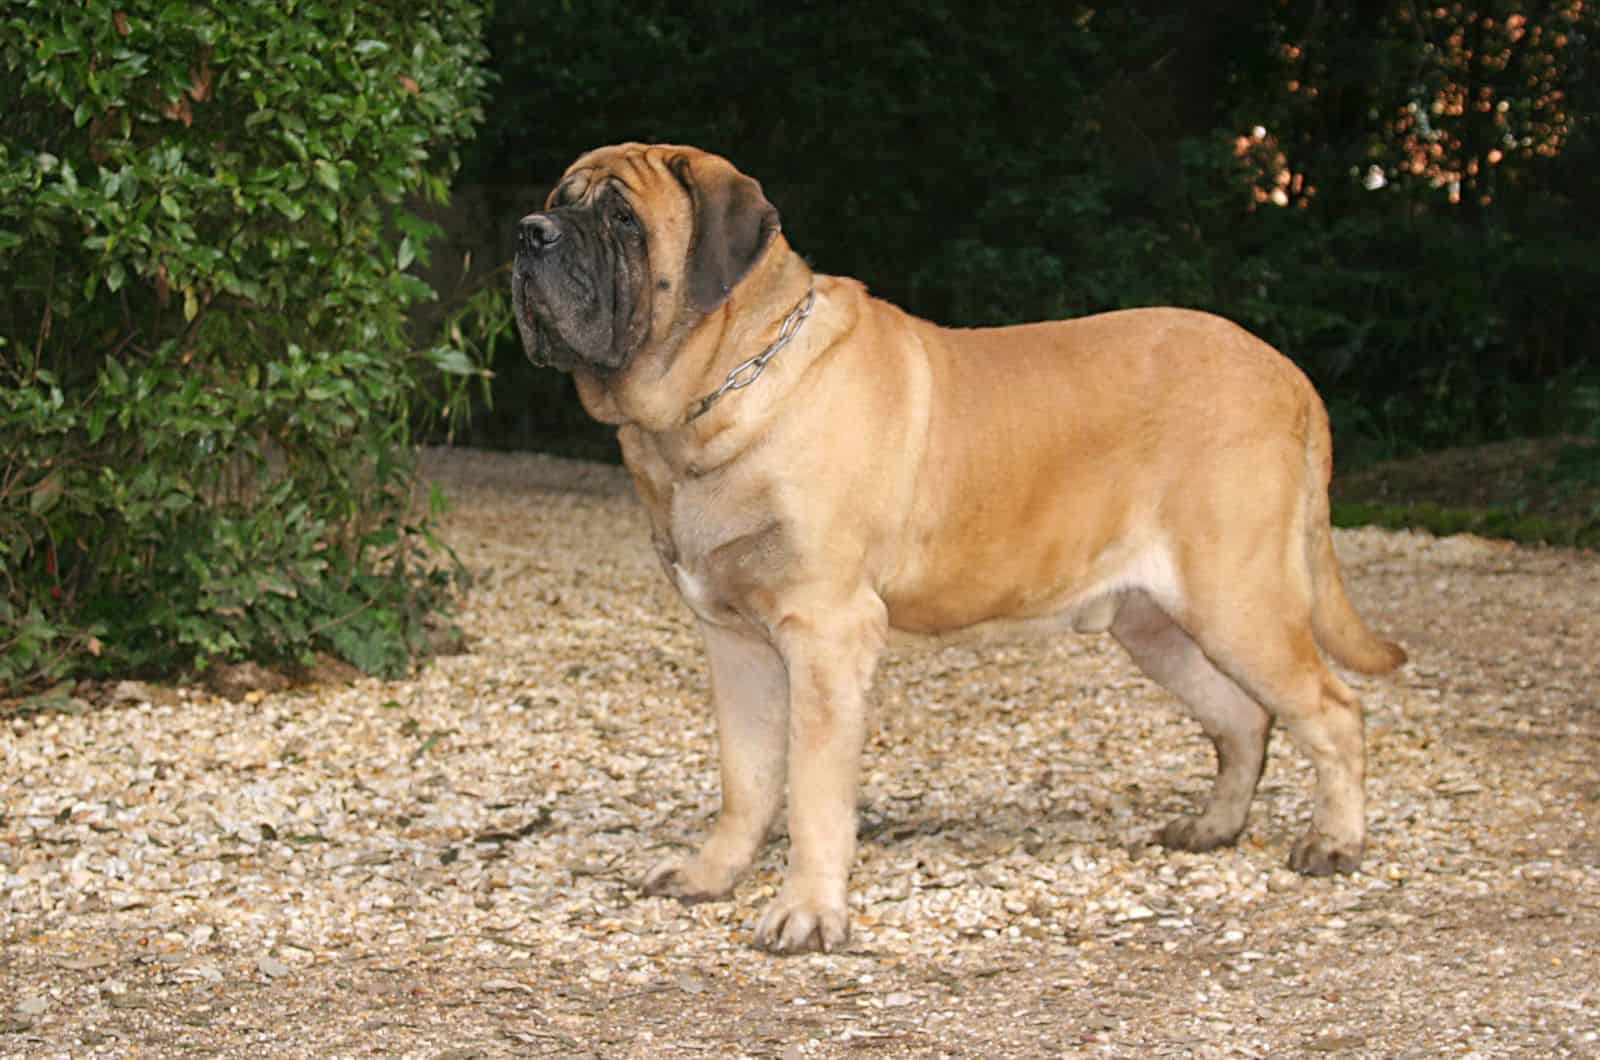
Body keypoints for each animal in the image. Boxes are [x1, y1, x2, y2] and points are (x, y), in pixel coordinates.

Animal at [508, 143, 1401, 954]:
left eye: (623, 219)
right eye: (557, 198)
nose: (528, 233)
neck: (719, 392)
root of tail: (1290, 376)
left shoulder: (825, 634)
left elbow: (812, 788)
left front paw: (807, 911)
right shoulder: (734, 641)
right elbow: (746, 777)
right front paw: (713, 874)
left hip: (1238, 601)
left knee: (1333, 710)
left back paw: (1335, 842)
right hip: (1157, 625)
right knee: (1244, 719)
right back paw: (1213, 828)